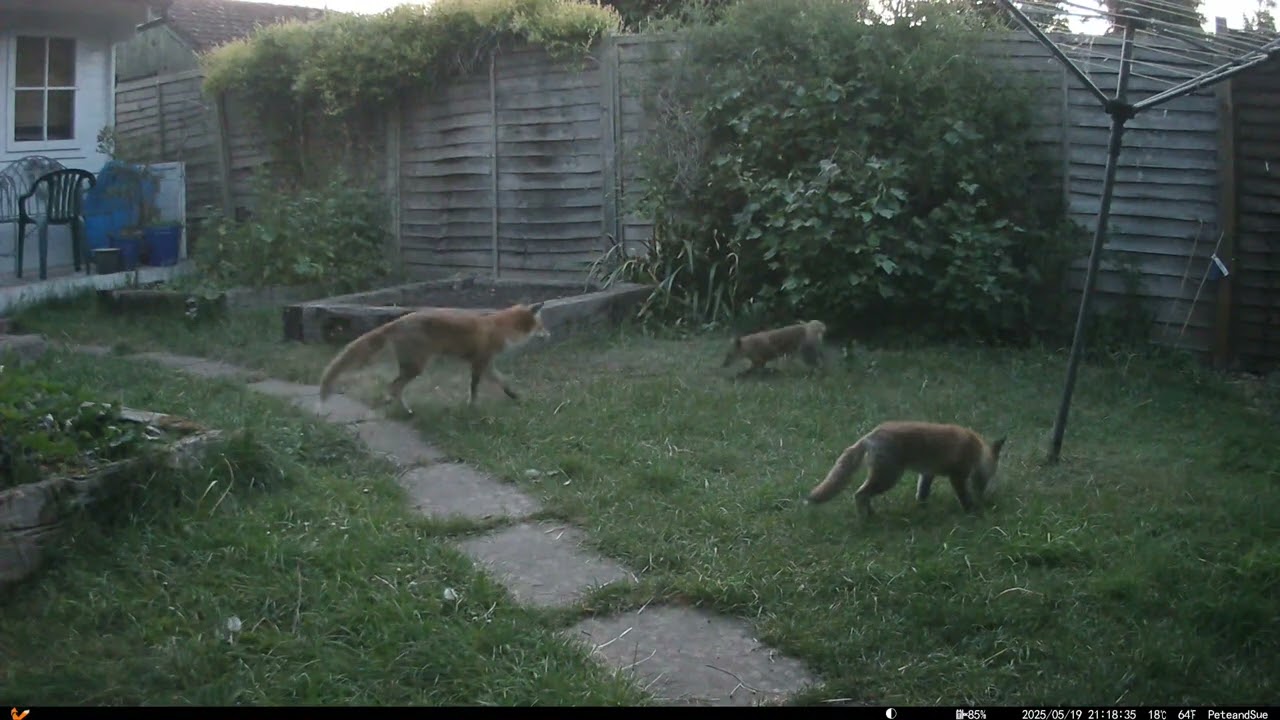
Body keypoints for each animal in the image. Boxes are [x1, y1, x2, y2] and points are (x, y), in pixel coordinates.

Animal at [318, 302, 551, 414]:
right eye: (541, 326)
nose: (549, 334)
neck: (500, 328)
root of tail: (397, 322)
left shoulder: (486, 364)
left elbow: (504, 383)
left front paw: (516, 397)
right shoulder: (479, 363)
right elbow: (474, 388)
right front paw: (472, 407)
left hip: (411, 367)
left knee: (392, 386)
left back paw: (397, 406)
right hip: (417, 366)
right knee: (394, 386)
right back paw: (405, 409)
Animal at [807, 421, 1007, 518]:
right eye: (988, 476)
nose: (983, 497)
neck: (976, 449)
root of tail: (870, 435)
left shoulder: (927, 472)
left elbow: (922, 493)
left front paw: (923, 508)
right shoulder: (957, 476)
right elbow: (963, 496)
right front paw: (971, 511)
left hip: (884, 477)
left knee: (863, 494)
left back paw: (871, 513)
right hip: (888, 478)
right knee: (860, 494)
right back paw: (866, 518)